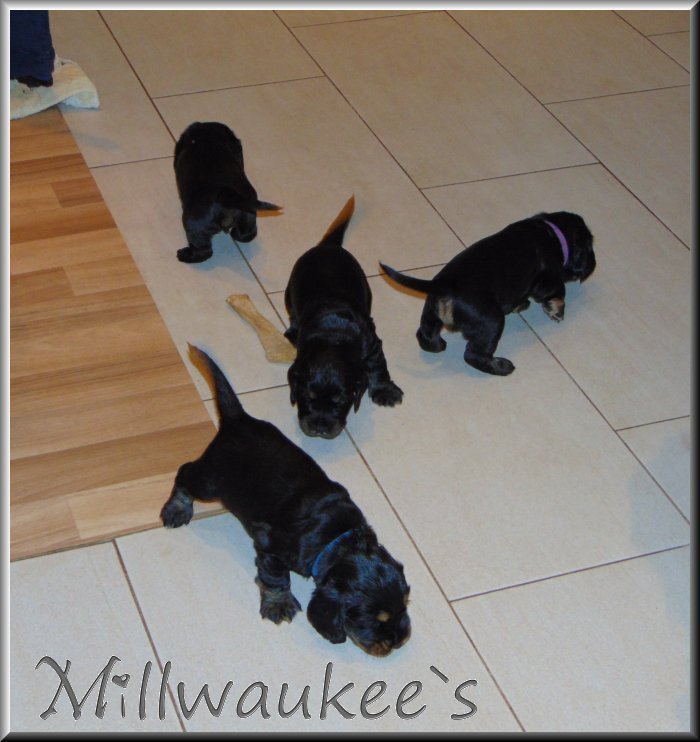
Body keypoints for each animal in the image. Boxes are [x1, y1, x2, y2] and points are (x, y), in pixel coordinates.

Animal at [160, 345, 411, 657]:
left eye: (404, 604)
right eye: (373, 621)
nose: (400, 640)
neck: (338, 538)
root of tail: (238, 420)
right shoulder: (271, 549)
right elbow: (275, 579)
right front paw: (279, 604)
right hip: (209, 480)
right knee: (185, 473)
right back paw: (176, 509)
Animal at [174, 121, 280, 263]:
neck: (208, 137)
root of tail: (227, 197)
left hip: (193, 225)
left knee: (204, 251)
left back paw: (185, 255)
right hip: (248, 216)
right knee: (248, 233)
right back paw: (235, 233)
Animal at [284, 196, 403, 439]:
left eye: (340, 402)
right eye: (307, 397)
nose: (320, 427)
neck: (332, 339)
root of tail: (328, 246)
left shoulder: (372, 345)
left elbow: (378, 368)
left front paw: (385, 392)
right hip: (288, 292)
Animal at [380, 211, 595, 375]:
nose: (593, 265)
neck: (553, 232)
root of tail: (443, 284)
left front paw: (522, 304)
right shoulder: (547, 280)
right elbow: (559, 290)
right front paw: (556, 310)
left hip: (431, 310)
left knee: (424, 333)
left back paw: (438, 345)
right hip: (492, 321)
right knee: (473, 355)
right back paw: (501, 367)